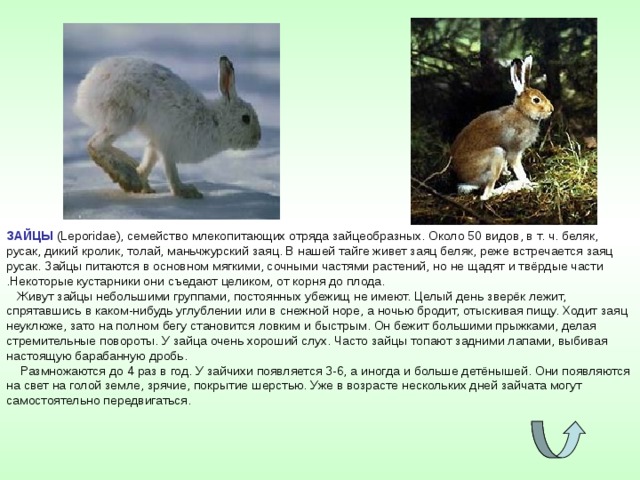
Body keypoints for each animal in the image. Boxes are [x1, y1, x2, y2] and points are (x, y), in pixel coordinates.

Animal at [74, 55, 261, 199]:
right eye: (246, 119)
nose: (258, 137)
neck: (215, 121)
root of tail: (86, 87)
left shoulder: (156, 144)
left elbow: (148, 162)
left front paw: (143, 184)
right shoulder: (169, 147)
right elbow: (172, 173)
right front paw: (185, 192)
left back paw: (130, 169)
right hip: (122, 117)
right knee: (95, 144)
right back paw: (125, 176)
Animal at [450, 55, 553, 200]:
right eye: (536, 100)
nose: (551, 109)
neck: (522, 113)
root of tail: (462, 180)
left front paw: (507, 173)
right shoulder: (514, 151)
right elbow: (519, 170)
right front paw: (529, 184)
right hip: (496, 155)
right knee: (486, 195)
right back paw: (514, 186)